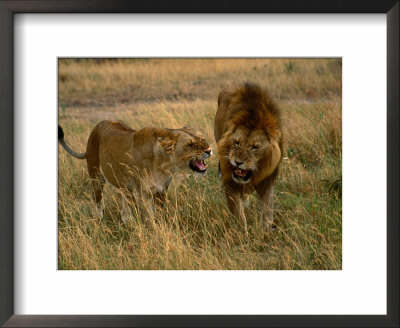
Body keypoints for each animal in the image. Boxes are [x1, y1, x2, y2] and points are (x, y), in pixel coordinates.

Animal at [59, 121, 212, 223]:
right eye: (190, 145)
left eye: (203, 139)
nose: (209, 151)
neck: (164, 164)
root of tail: (98, 125)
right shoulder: (143, 193)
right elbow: (149, 217)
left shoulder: (161, 190)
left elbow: (159, 213)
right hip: (96, 176)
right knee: (97, 201)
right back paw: (99, 220)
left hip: (125, 186)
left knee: (125, 203)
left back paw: (127, 221)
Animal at [214, 83, 282, 234]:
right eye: (236, 142)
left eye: (255, 147)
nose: (238, 162)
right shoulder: (230, 180)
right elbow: (238, 214)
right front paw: (242, 235)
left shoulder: (267, 180)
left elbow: (267, 208)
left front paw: (266, 232)